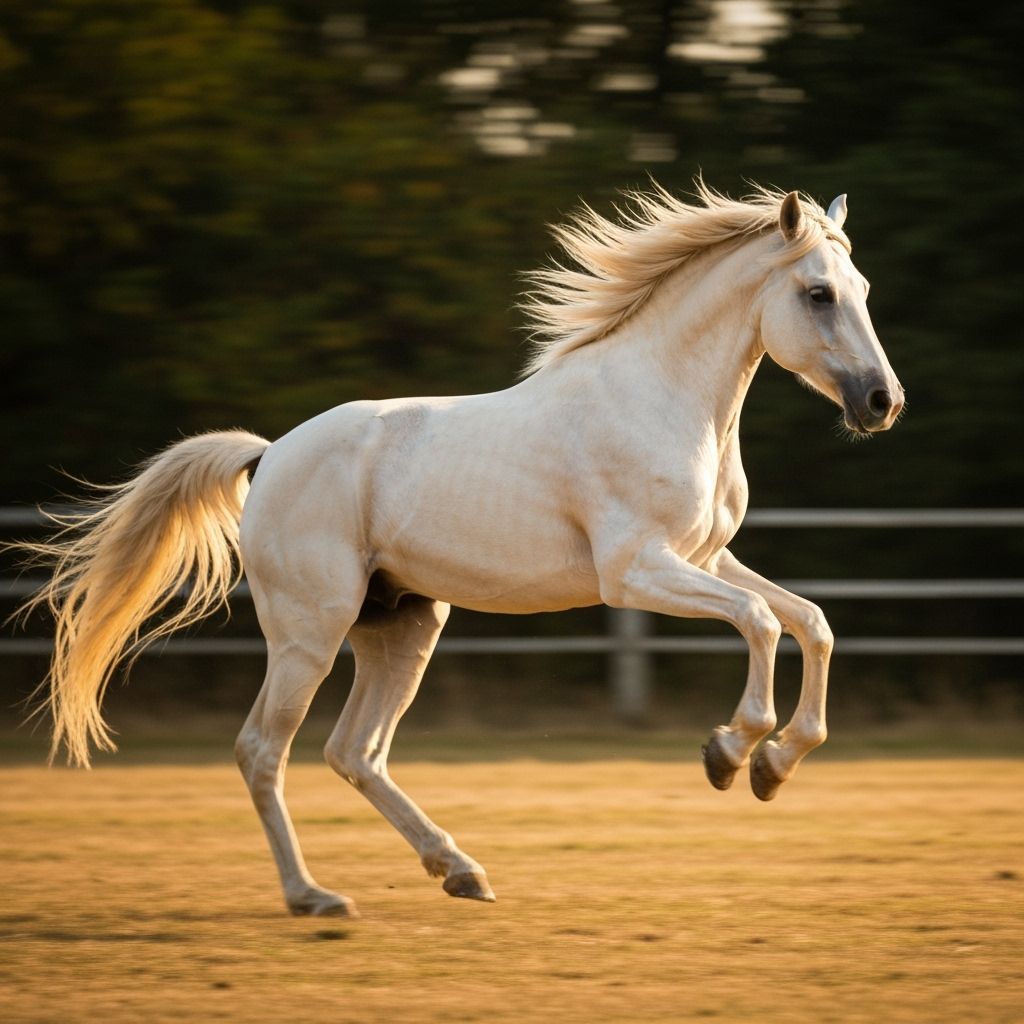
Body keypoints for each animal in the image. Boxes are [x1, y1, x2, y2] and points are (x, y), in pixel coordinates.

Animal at [18, 181, 903, 917]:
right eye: (818, 294)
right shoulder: (636, 572)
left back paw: (460, 871)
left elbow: (811, 622)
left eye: (863, 290)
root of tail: (268, 455)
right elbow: (761, 620)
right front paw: (730, 753)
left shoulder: (706, 556)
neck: (660, 400)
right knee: (264, 750)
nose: (881, 402)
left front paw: (775, 766)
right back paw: (314, 897)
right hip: (311, 631)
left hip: (404, 625)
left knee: (355, 751)